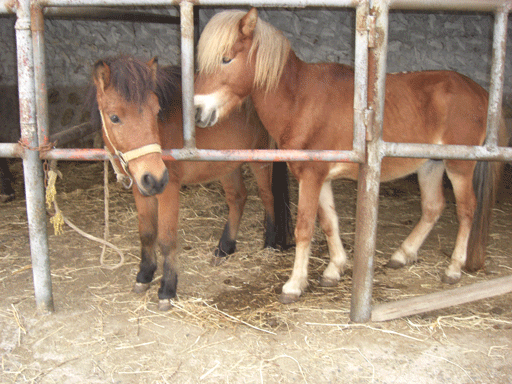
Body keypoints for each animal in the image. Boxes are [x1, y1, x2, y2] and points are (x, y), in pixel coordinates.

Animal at [92, 55, 292, 310]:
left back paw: (269, 243)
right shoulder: (141, 189)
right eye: (114, 117)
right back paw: (225, 247)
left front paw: (167, 289)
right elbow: (146, 233)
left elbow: (166, 240)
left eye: (156, 111)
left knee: (268, 196)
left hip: (260, 158)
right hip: (225, 163)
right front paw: (144, 275)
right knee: (237, 198)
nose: (155, 178)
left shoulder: (169, 189)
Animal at [193, 7, 508, 304]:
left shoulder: (311, 177)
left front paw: (294, 285)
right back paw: (403, 254)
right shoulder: (320, 177)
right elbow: (329, 222)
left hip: (459, 167)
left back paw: (453, 269)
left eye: (226, 59)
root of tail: (481, 92)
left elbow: (304, 228)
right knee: (432, 208)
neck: (300, 100)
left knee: (466, 211)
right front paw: (334, 269)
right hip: (430, 165)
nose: (197, 111)